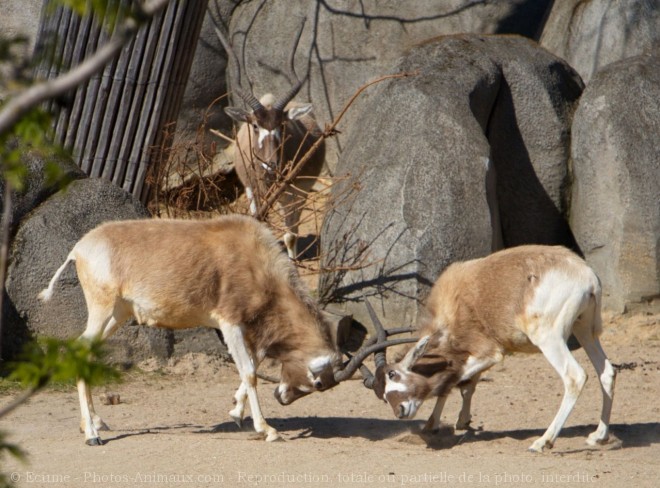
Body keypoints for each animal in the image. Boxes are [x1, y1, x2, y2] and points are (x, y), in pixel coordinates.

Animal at [38, 215, 404, 444]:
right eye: (317, 382)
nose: (283, 398)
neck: (255, 257)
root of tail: (80, 249)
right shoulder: (230, 321)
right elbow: (250, 371)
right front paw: (267, 429)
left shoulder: (245, 326)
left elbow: (252, 365)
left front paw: (237, 412)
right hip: (103, 310)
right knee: (80, 349)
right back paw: (93, 435)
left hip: (118, 314)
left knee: (85, 353)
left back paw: (95, 423)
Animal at [217, 22, 324, 260]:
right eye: (256, 126)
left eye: (282, 126)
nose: (270, 165)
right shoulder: (253, 190)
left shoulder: (294, 193)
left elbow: (291, 235)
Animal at [360, 246, 612, 452]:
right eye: (382, 396)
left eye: (394, 374)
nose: (401, 411)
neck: (454, 300)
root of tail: (587, 276)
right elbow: (468, 386)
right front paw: (459, 421)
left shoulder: (490, 352)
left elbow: (451, 380)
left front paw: (432, 425)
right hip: (584, 329)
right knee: (607, 372)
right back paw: (598, 436)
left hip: (549, 338)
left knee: (575, 376)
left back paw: (542, 442)